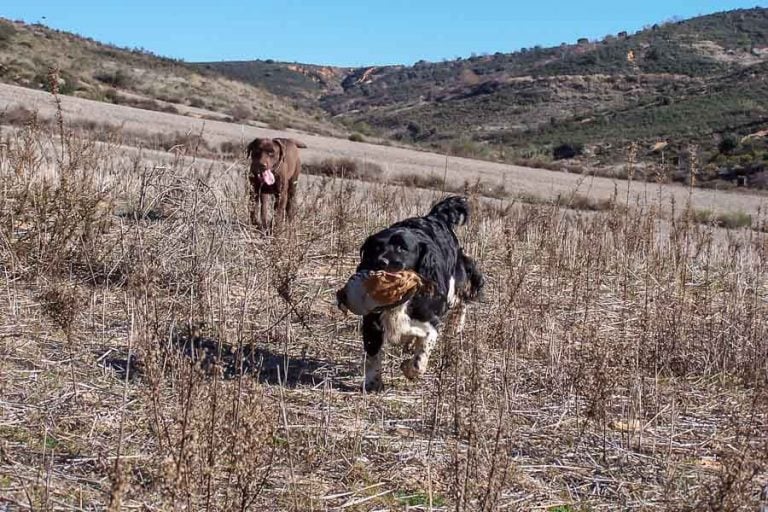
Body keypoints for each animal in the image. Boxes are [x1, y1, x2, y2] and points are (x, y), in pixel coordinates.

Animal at [350, 196, 484, 392]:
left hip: (454, 285)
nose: (380, 261)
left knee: (461, 300)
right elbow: (373, 355)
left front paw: (409, 368)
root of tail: (434, 216)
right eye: (376, 247)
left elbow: (421, 357)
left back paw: (456, 325)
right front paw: (373, 384)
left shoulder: (432, 320)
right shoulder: (372, 322)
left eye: (402, 248)